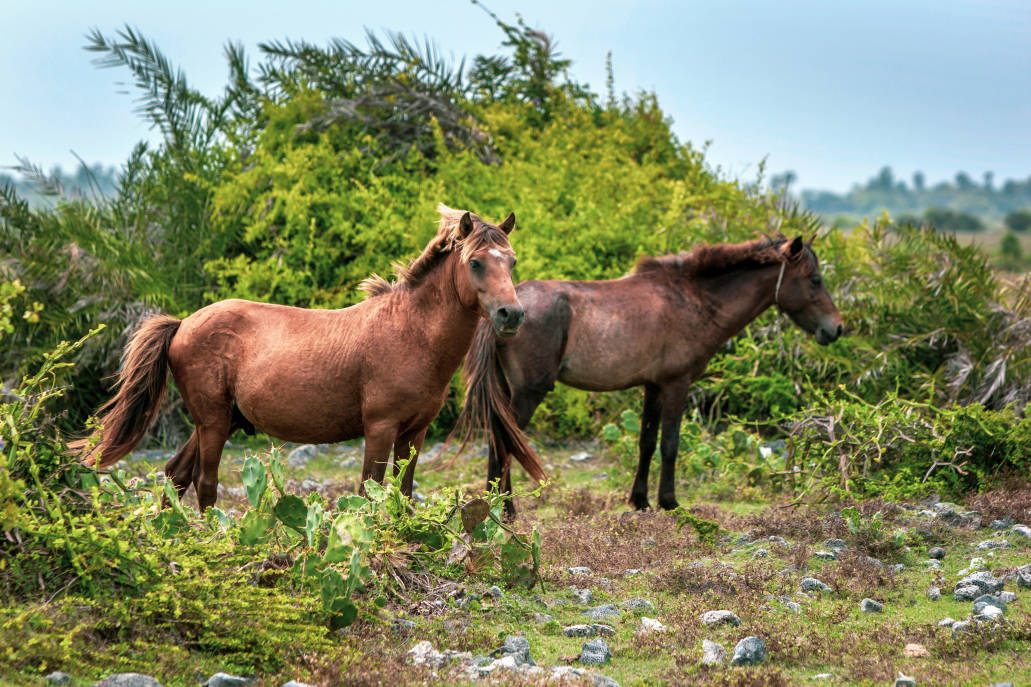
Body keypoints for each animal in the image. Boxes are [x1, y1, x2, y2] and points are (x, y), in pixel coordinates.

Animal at [74, 203, 548, 507]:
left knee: (176, 474)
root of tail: (183, 324)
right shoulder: (380, 428)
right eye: (475, 263)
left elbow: (403, 494)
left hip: (222, 421)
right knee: (205, 484)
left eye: (511, 261)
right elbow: (368, 493)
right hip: (212, 422)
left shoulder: (415, 432)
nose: (511, 315)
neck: (409, 332)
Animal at [459, 235, 845, 513]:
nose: (836, 328)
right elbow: (670, 443)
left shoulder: (653, 387)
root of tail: (506, 309)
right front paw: (669, 501)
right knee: (506, 441)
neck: (694, 299)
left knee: (499, 439)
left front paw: (641, 500)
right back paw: (506, 509)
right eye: (815, 280)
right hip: (528, 392)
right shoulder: (677, 385)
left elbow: (646, 442)